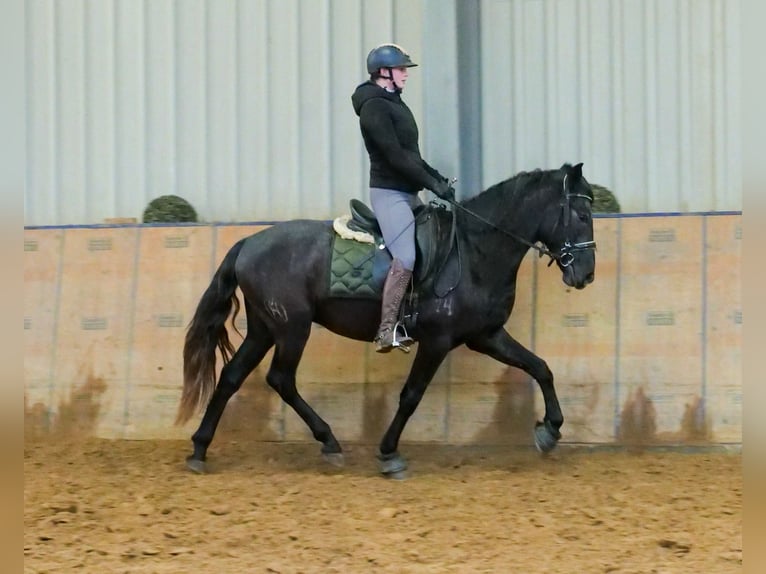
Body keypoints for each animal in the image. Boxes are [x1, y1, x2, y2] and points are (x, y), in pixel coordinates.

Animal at [177, 161, 596, 476]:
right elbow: (411, 396)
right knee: (281, 379)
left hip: (266, 328)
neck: (475, 250)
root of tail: (248, 242)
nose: (586, 274)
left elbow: (540, 367)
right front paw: (389, 453)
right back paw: (329, 442)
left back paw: (200, 450)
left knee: (232, 376)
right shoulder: (438, 341)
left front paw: (550, 430)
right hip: (292, 327)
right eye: (580, 213)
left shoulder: (487, 335)